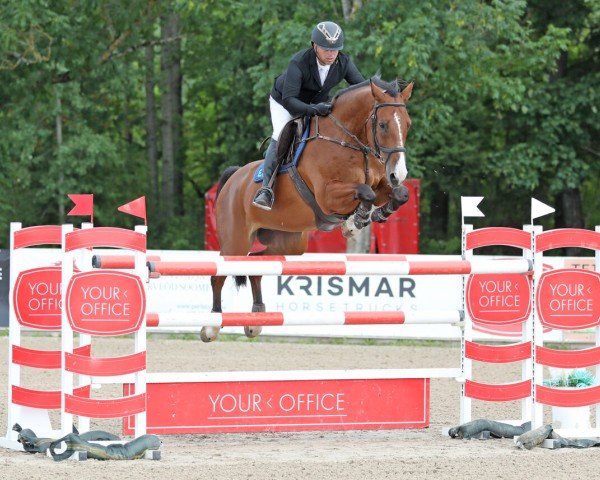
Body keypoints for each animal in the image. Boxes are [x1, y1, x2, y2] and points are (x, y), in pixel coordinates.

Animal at [202, 77, 412, 342]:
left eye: (407, 124)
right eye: (383, 125)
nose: (398, 174)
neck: (349, 141)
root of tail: (234, 177)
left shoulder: (381, 184)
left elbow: (398, 194)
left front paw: (376, 214)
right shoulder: (327, 195)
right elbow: (366, 192)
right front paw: (356, 222)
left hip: (289, 243)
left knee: (255, 265)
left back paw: (256, 320)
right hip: (235, 242)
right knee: (219, 273)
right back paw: (212, 325)